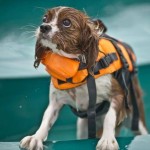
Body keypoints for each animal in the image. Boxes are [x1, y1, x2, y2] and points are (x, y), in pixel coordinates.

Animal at [20, 6, 149, 149]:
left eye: (66, 22)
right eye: (44, 19)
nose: (43, 27)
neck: (77, 69)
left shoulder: (118, 94)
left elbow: (109, 117)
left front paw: (107, 140)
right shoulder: (55, 102)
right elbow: (46, 119)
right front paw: (35, 137)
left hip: (136, 118)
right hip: (82, 126)